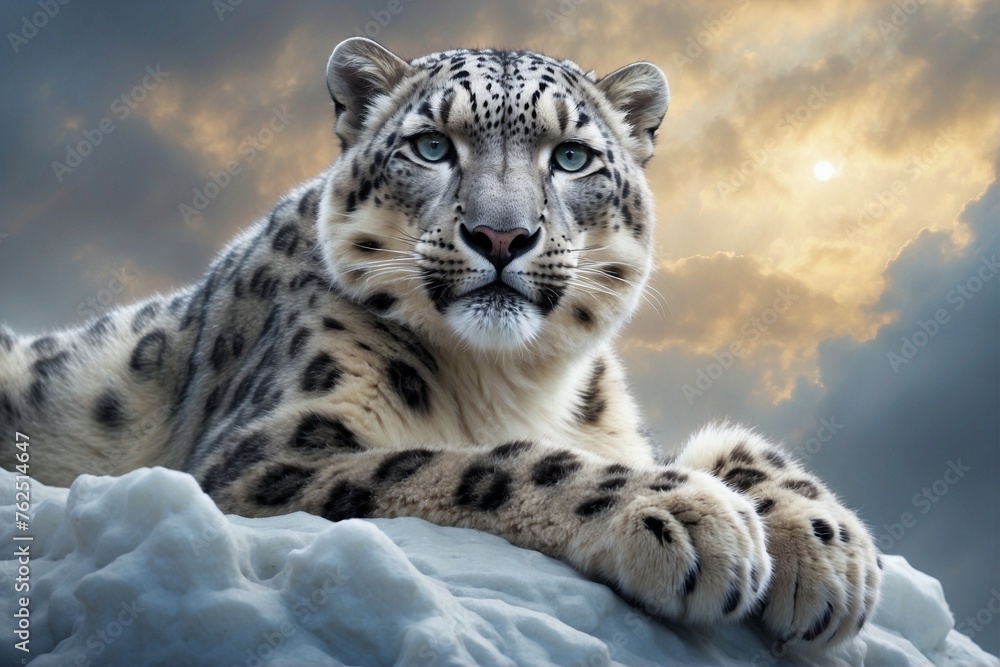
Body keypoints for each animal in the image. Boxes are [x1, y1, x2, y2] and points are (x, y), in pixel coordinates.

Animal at [0, 37, 880, 650]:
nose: (502, 234)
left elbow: (730, 444)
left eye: (572, 156)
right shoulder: (266, 453)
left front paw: (833, 556)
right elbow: (470, 462)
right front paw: (689, 517)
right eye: (431, 145)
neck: (518, 379)